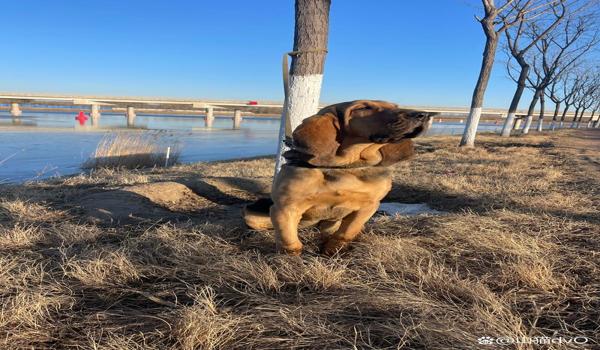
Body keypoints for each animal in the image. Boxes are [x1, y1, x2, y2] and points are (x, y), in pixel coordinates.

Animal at [244, 100, 436, 256]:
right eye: (363, 108)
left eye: (395, 106)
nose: (424, 114)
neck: (344, 166)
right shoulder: (286, 208)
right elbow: (289, 240)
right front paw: (290, 258)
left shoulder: (369, 205)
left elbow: (347, 231)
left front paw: (334, 249)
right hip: (252, 216)